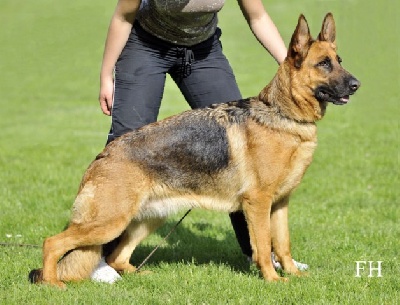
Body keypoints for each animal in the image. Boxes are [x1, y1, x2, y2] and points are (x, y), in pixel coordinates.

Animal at [28, 12, 360, 288]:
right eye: (324, 64)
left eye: (339, 60)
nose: (357, 84)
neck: (284, 115)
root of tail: (102, 156)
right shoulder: (258, 204)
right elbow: (264, 247)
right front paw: (273, 280)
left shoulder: (280, 204)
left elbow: (283, 244)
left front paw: (291, 274)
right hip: (110, 222)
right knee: (53, 243)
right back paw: (52, 283)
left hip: (148, 218)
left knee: (116, 257)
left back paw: (142, 275)